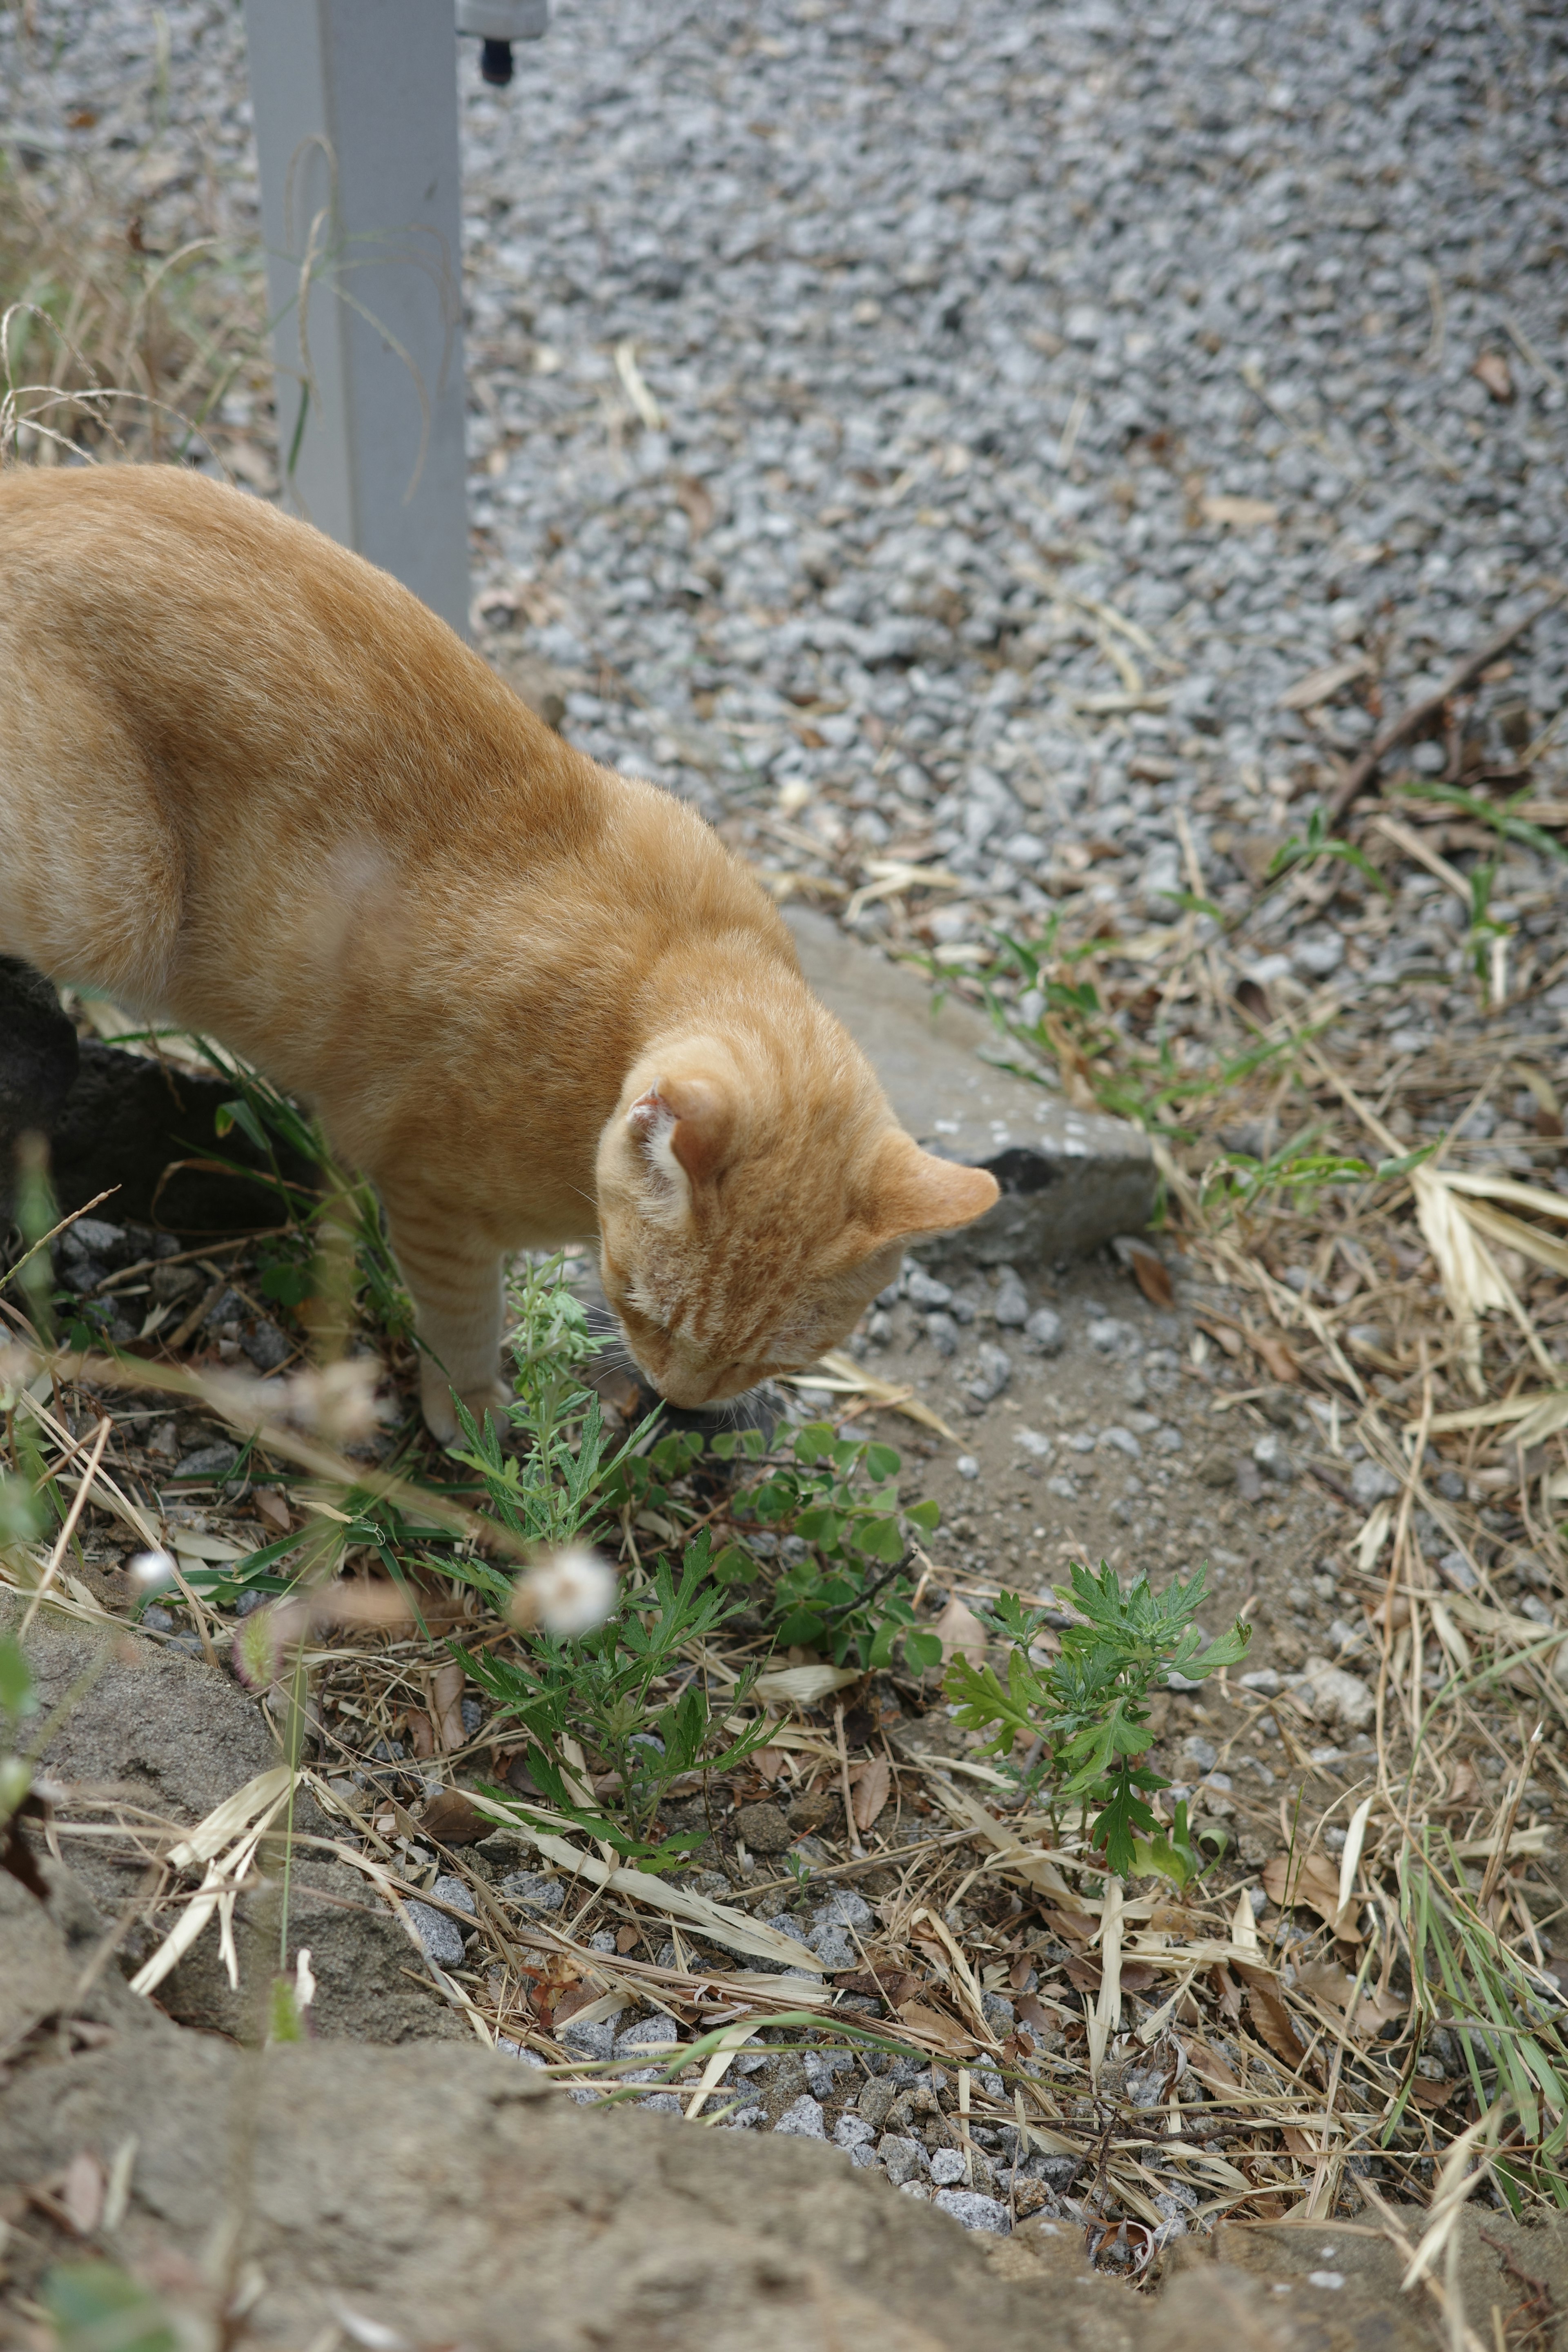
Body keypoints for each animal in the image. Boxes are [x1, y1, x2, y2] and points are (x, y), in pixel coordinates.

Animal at [0, 449, 1001, 1421]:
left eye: (765, 1360)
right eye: (644, 1309)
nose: (678, 1397)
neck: (665, 970)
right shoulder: (431, 1199)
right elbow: (461, 1314)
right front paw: (473, 1411)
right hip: (116, 901)